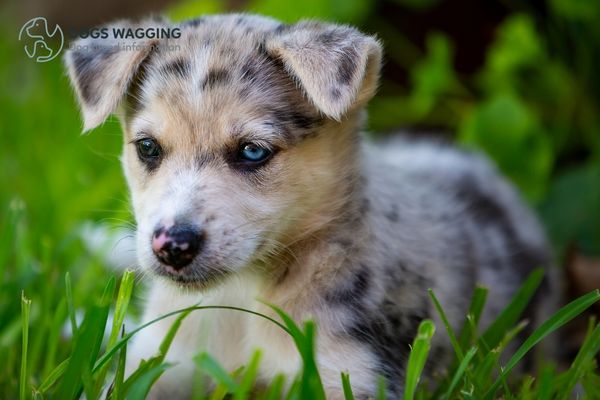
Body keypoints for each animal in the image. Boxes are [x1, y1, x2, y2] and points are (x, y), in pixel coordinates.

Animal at [65, 14, 552, 398]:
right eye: (148, 148)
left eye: (253, 151)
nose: (172, 246)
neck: (239, 296)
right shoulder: (159, 362)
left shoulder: (349, 374)